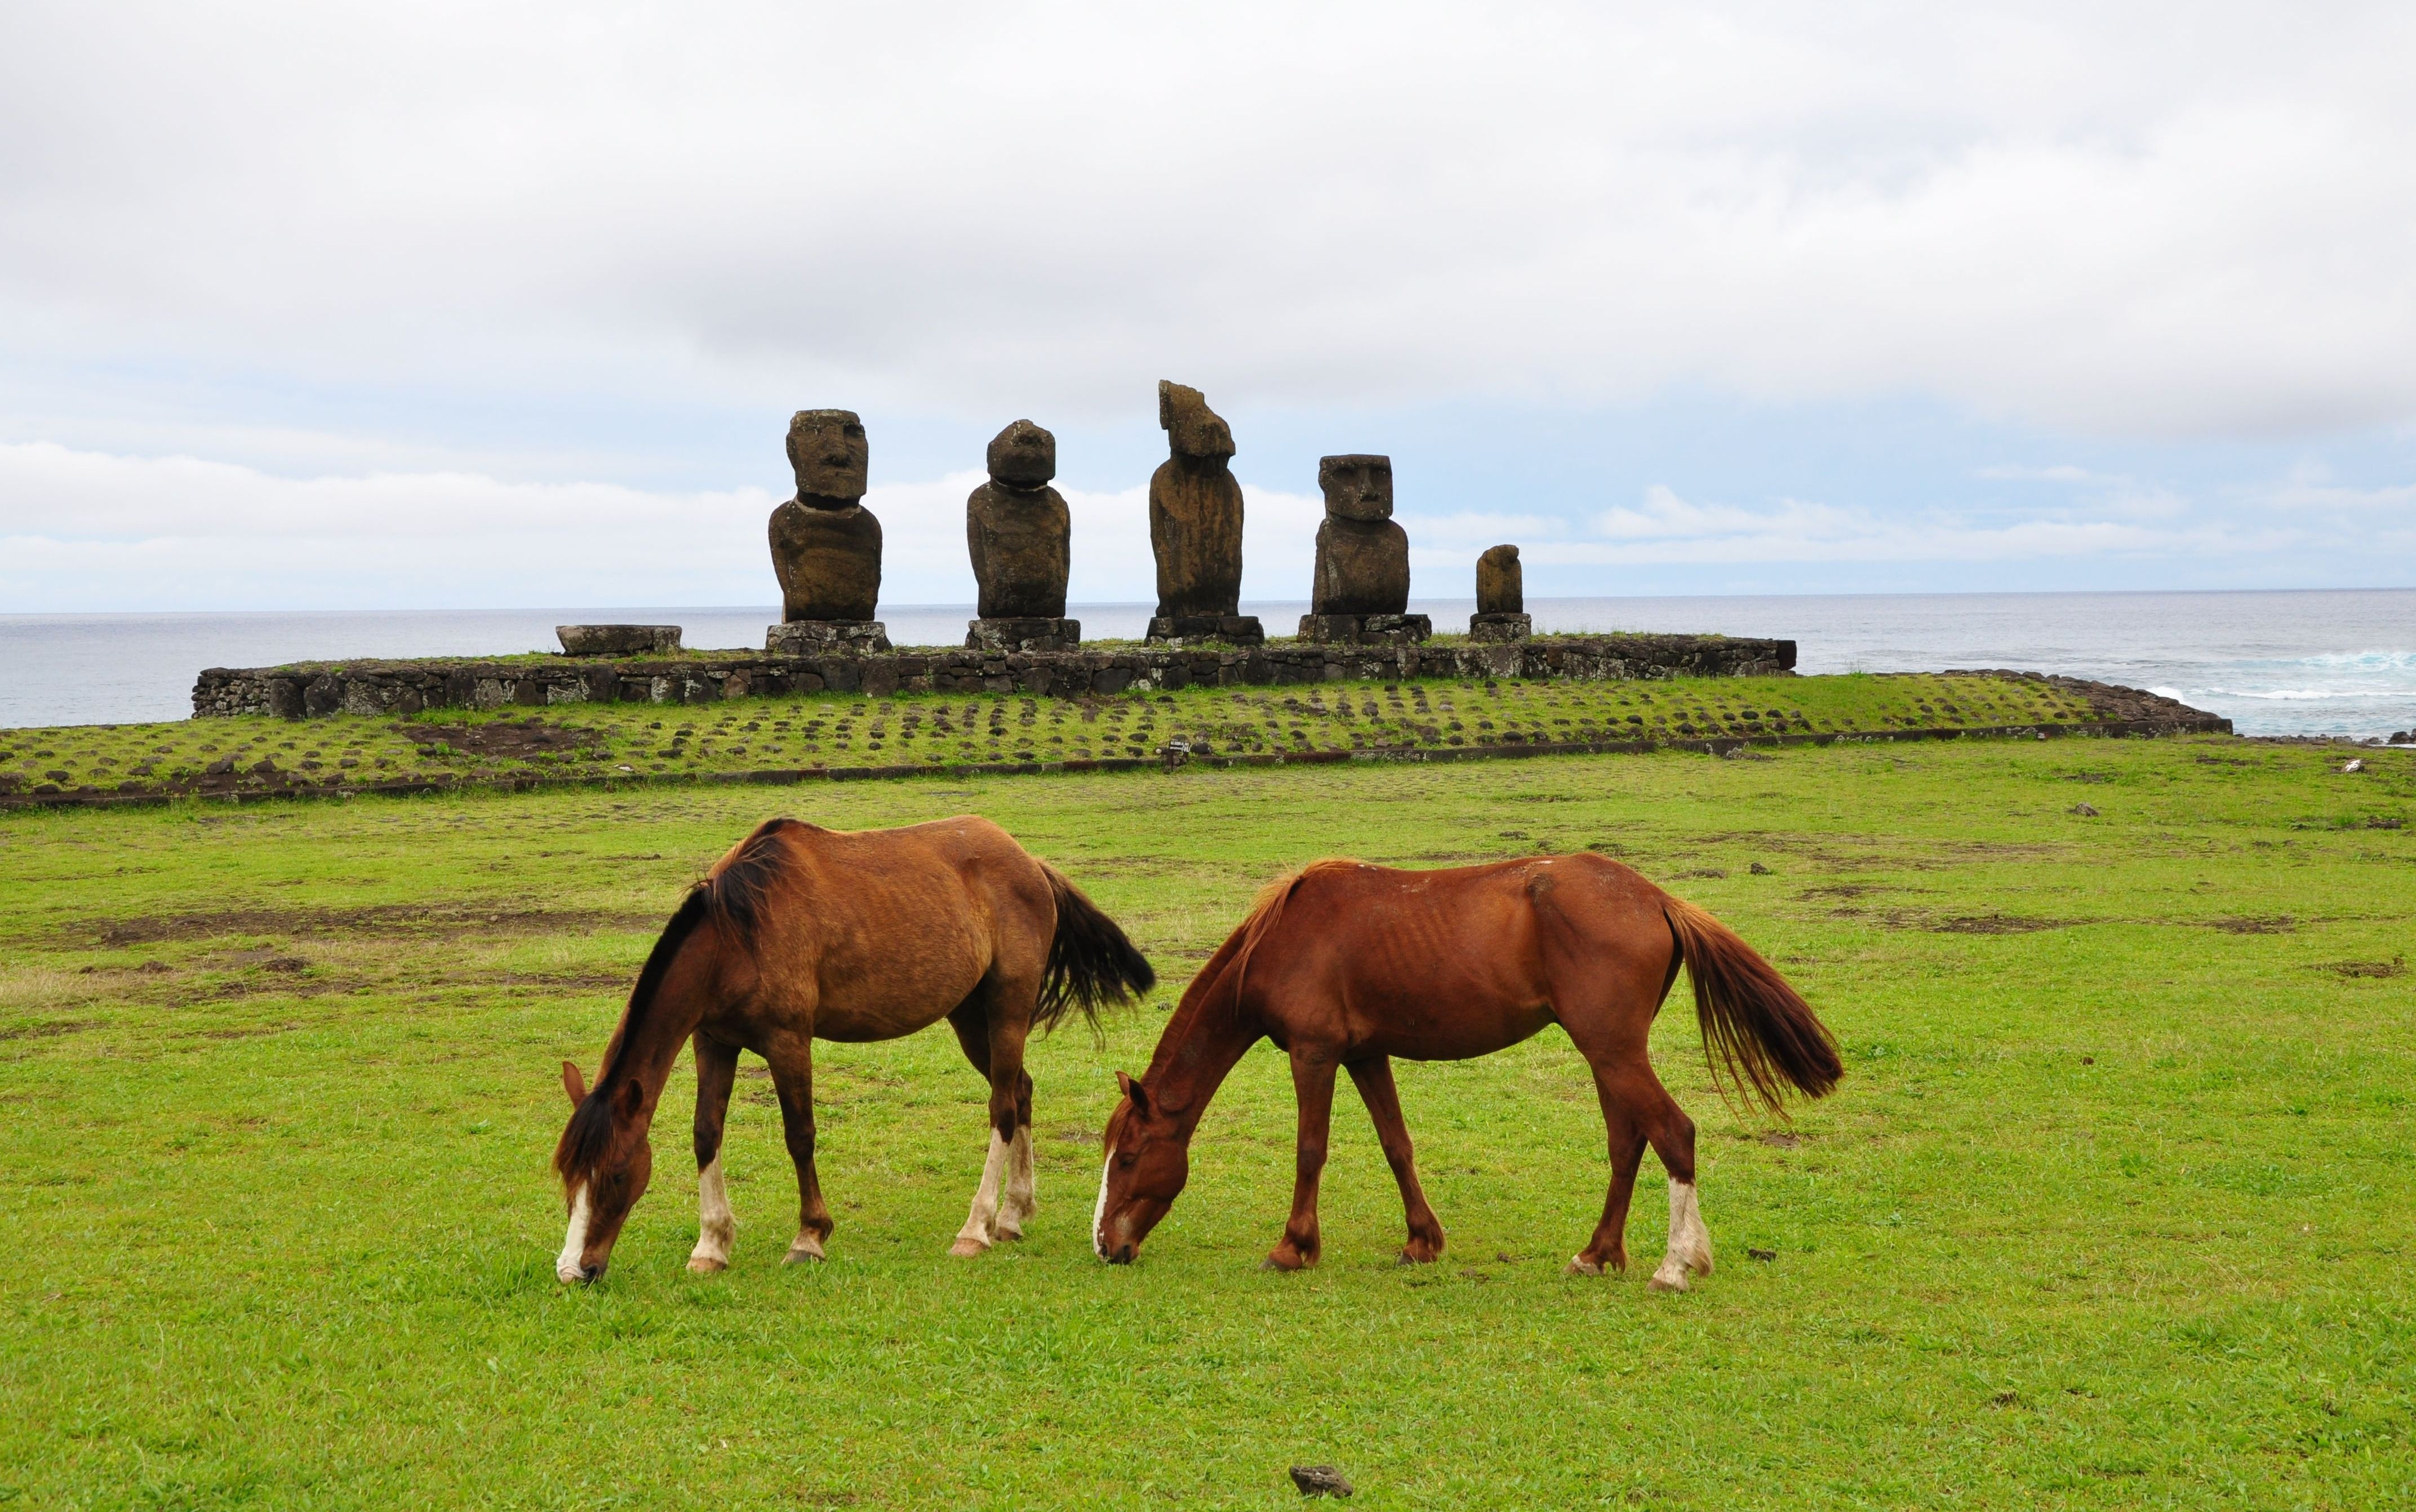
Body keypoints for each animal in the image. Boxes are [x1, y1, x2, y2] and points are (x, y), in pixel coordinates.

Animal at [553, 816, 1150, 1275]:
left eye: (615, 1174)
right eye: (568, 1176)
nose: (574, 1270)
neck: (737, 933)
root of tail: (1030, 863)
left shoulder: (788, 1041)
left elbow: (800, 1136)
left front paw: (809, 1237)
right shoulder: (713, 1042)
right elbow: (706, 1134)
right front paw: (712, 1245)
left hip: (1007, 1008)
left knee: (1003, 1106)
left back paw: (977, 1227)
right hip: (969, 1017)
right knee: (1021, 1090)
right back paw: (1013, 1215)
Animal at [1087, 850, 1836, 1284]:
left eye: (1129, 1157)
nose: (1104, 1245)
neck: (1285, 935)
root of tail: (1655, 897)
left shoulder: (1314, 1052)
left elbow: (1309, 1148)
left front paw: (1293, 1246)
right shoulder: (1364, 1053)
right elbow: (1396, 1145)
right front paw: (1422, 1240)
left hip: (1613, 1051)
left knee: (1674, 1132)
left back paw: (1677, 1263)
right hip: (1609, 1054)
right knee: (1628, 1143)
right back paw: (1598, 1252)